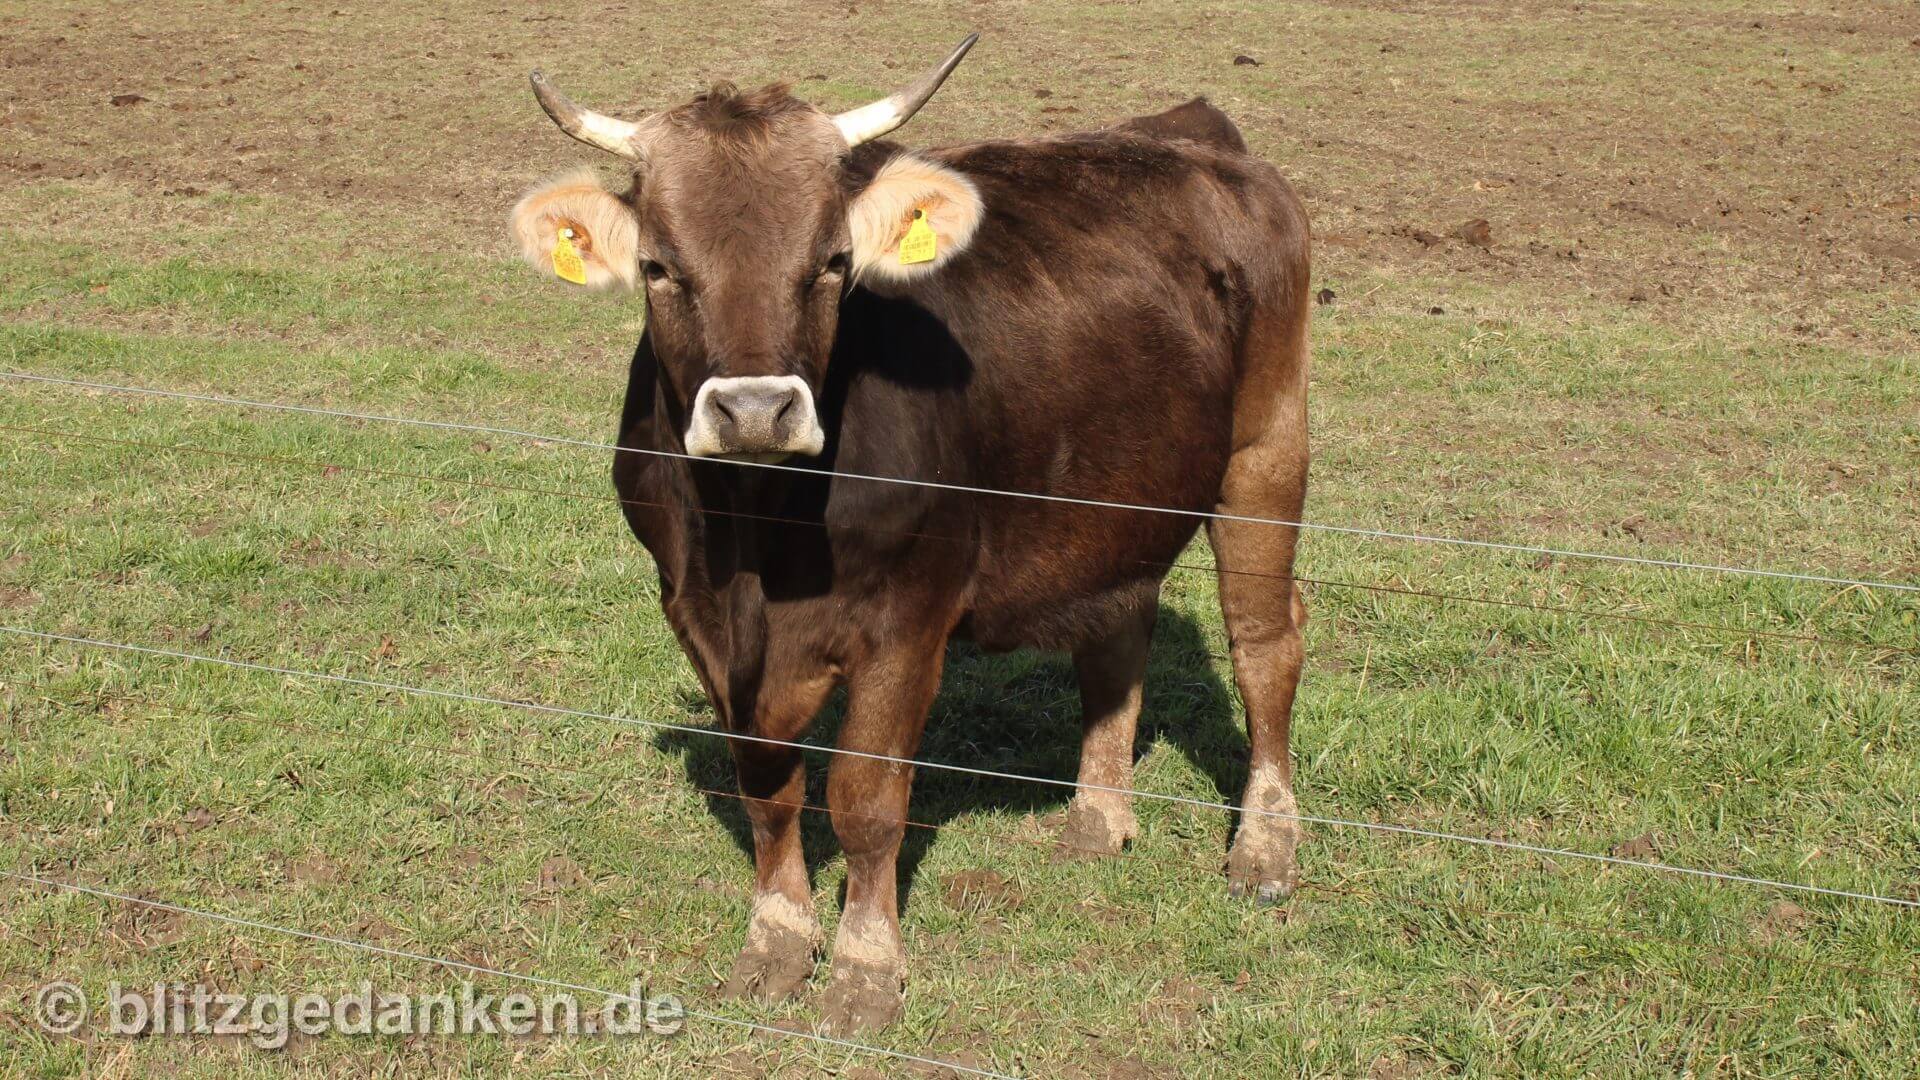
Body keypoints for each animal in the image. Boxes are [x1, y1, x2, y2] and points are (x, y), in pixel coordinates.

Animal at [510, 37, 1313, 1030]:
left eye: (832, 262)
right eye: (660, 267)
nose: (755, 410)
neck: (756, 542)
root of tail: (1188, 129)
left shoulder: (907, 621)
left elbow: (865, 796)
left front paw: (864, 970)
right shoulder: (692, 612)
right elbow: (766, 786)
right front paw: (776, 943)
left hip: (1267, 447)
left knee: (1266, 643)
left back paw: (1265, 849)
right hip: (1114, 498)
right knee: (1118, 634)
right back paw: (1097, 818)